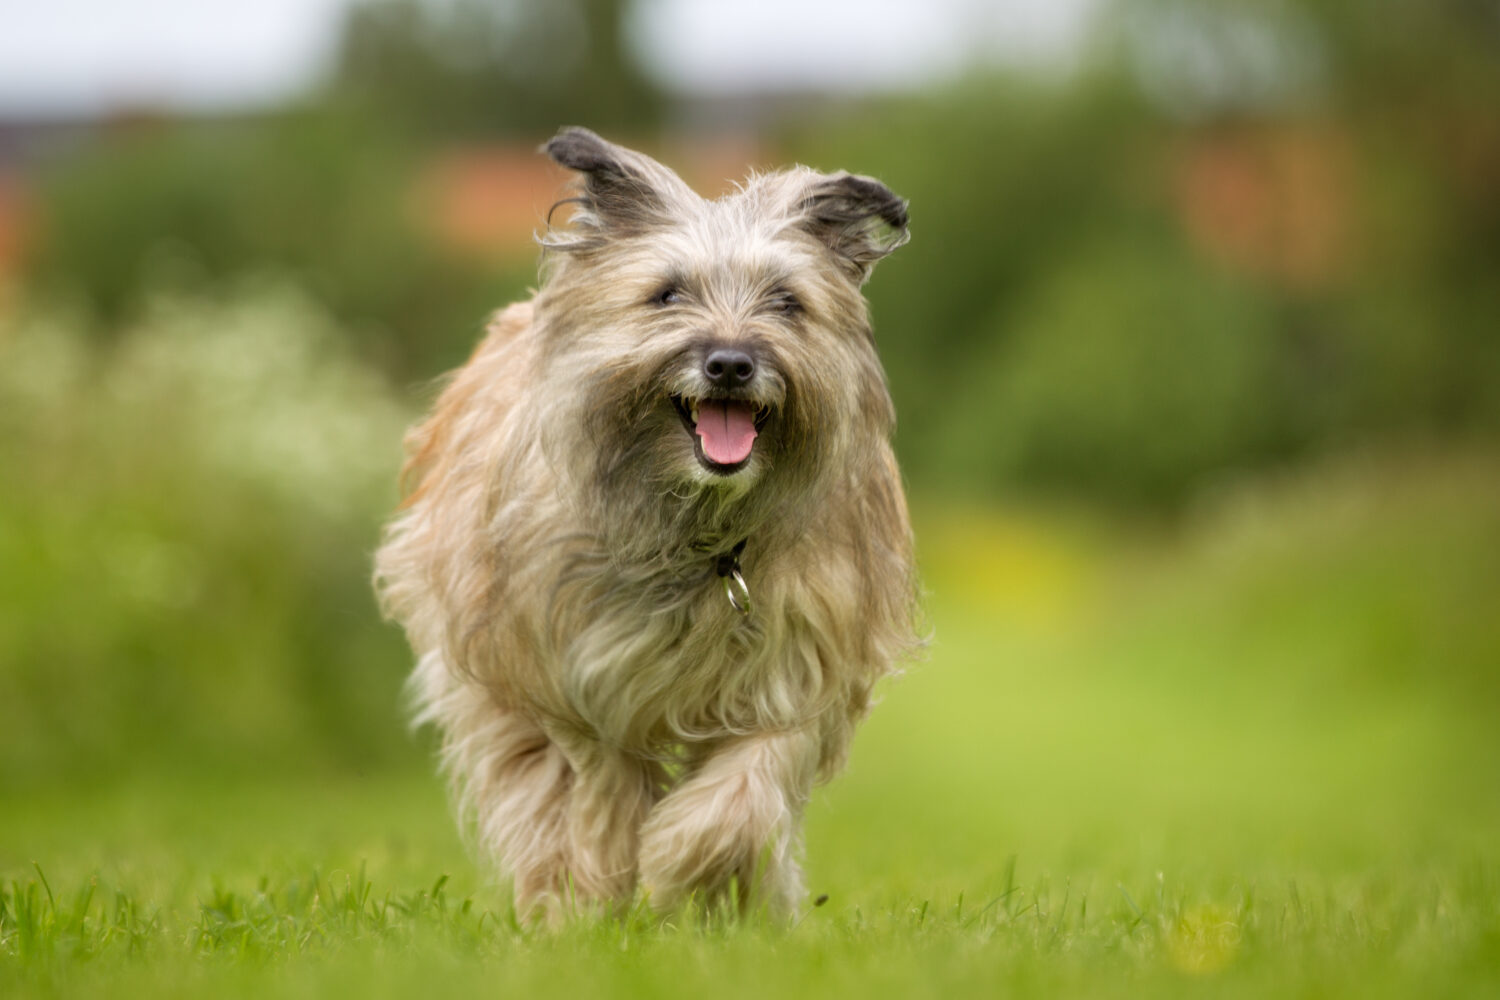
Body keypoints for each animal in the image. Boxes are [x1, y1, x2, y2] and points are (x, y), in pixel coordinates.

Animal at [372, 127, 924, 923]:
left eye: (787, 302)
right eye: (667, 294)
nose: (730, 363)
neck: (702, 536)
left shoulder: (800, 666)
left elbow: (745, 793)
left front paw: (691, 870)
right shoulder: (576, 677)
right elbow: (600, 788)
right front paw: (601, 890)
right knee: (532, 790)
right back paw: (555, 898)